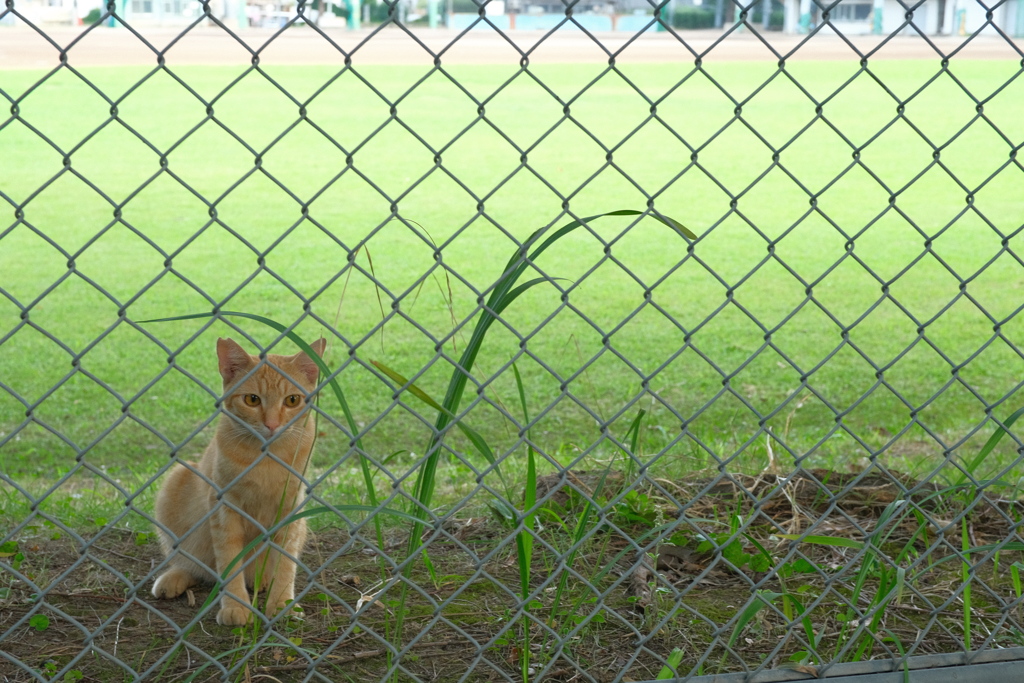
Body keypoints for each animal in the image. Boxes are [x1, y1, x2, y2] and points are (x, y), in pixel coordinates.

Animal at [148, 335, 321, 626]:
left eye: (292, 400)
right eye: (252, 400)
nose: (272, 424)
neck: (266, 459)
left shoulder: (291, 509)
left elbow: (286, 563)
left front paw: (282, 603)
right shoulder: (224, 508)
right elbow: (228, 561)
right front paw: (236, 606)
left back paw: (264, 581)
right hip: (178, 481)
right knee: (195, 565)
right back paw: (174, 578)